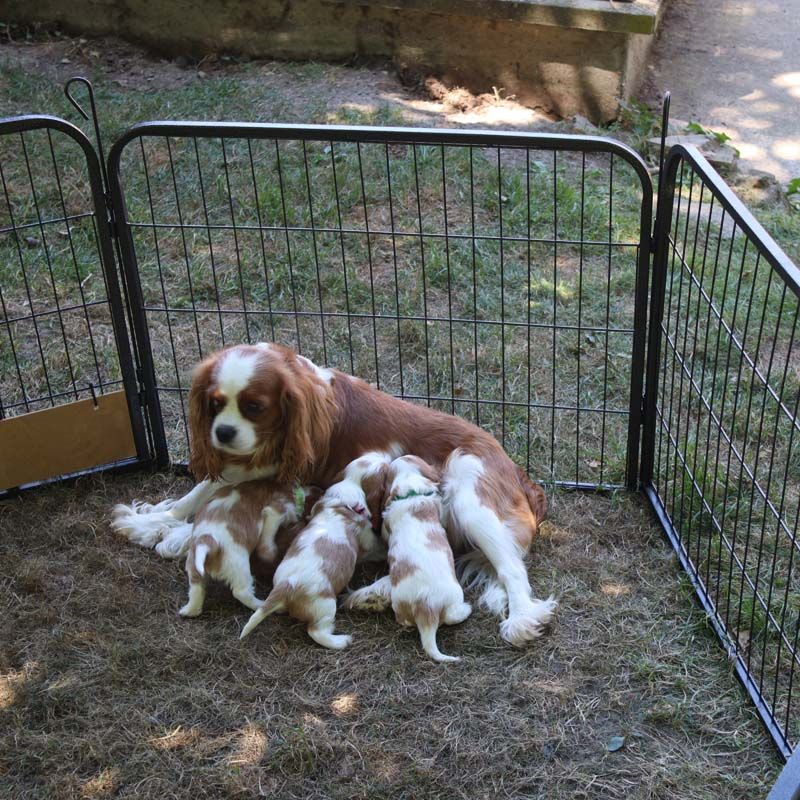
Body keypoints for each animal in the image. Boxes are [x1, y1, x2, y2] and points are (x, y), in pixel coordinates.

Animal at [180, 482, 320, 620]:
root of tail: (207, 541)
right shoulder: (275, 511)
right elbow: (267, 539)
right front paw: (271, 553)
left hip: (194, 565)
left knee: (196, 588)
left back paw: (188, 611)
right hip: (238, 565)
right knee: (241, 592)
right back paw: (263, 605)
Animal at [239, 450, 390, 648]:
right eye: (382, 468)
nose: (384, 455)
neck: (347, 492)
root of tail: (285, 587)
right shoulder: (367, 540)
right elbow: (376, 547)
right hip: (326, 606)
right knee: (316, 632)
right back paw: (342, 640)